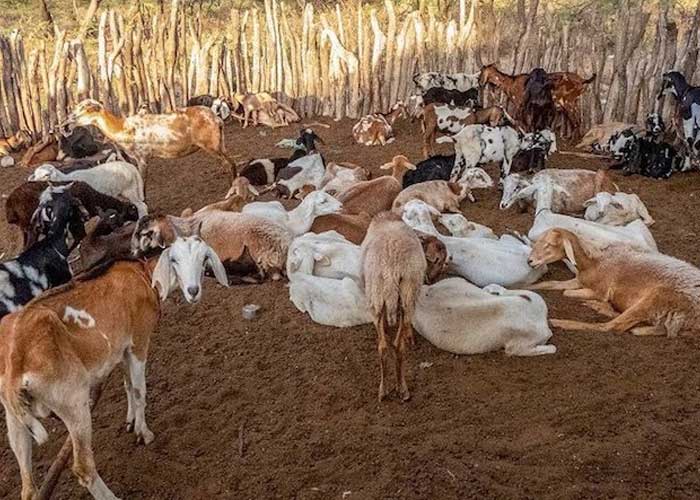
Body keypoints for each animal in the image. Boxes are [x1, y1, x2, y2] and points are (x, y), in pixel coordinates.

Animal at [0, 229, 227, 500]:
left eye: (203, 258)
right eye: (174, 259)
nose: (193, 291)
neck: (143, 275)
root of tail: (16, 360)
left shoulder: (121, 348)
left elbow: (128, 384)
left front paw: (130, 422)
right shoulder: (139, 340)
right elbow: (140, 390)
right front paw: (143, 433)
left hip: (14, 417)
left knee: (27, 483)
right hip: (73, 403)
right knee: (83, 467)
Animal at [360, 211, 426, 402]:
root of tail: (391, 269)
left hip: (377, 294)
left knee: (385, 346)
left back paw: (387, 389)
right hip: (407, 293)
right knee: (395, 346)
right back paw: (400, 388)